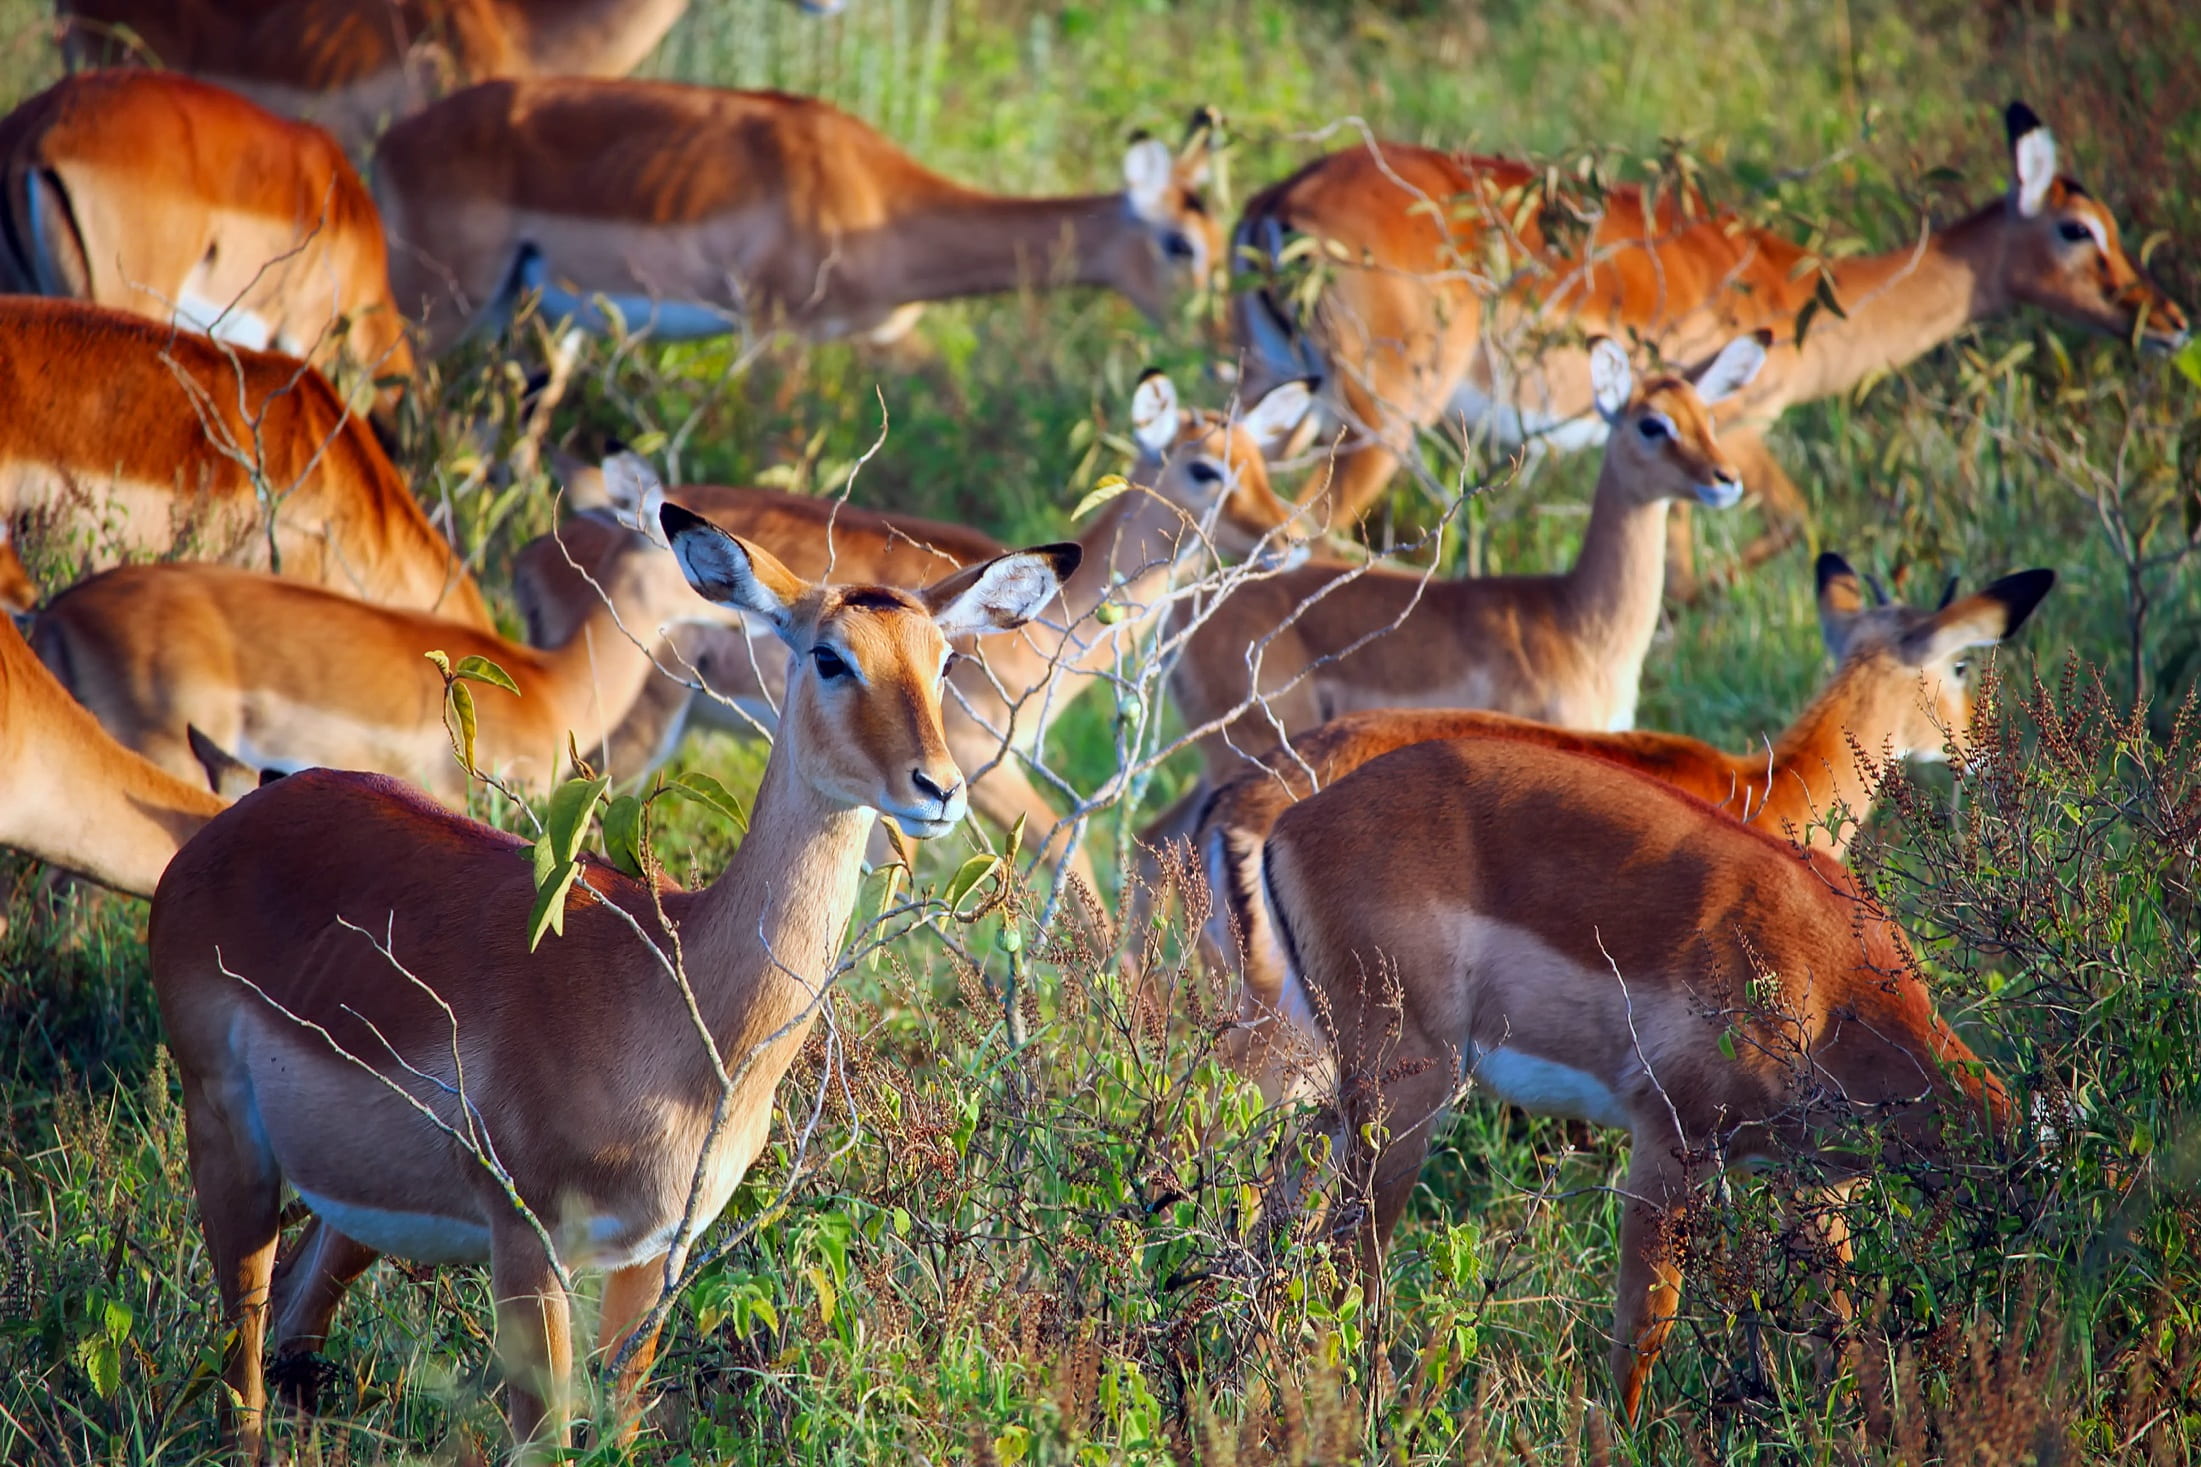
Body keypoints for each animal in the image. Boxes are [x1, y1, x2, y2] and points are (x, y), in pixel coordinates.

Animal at [149, 508, 1075, 1458]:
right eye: (829, 655)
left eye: (944, 660)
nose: (939, 788)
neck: (681, 1007)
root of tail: (228, 823)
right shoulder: (528, 1242)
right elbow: (545, 1435)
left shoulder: (650, 1254)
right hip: (227, 1140)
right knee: (244, 1366)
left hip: (350, 1206)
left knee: (294, 1324)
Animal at [373, 80, 1220, 355]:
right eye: (1180, 245)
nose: (1217, 351)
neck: (877, 198)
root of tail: (391, 141)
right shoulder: (774, 337)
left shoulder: (881, 337)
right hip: (436, 311)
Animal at [514, 374, 1313, 890]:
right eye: (1204, 467)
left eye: (1260, 460)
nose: (1293, 537)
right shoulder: (978, 765)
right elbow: (1070, 856)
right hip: (639, 725)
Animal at [1234, 102, 2188, 564]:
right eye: (2078, 229)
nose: (2170, 323)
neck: (1795, 287)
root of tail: (1275, 203)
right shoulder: (1736, 428)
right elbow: (1788, 526)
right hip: (1379, 423)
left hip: (1274, 400)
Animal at [1256, 735, 2011, 1422]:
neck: (1831, 979)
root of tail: (1290, 827)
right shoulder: (1671, 1145)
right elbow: (1643, 1331)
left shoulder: (1813, 1187)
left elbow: (1844, 1335)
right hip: (1405, 1098)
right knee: (1342, 1265)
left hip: (1330, 1093)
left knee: (1272, 1241)